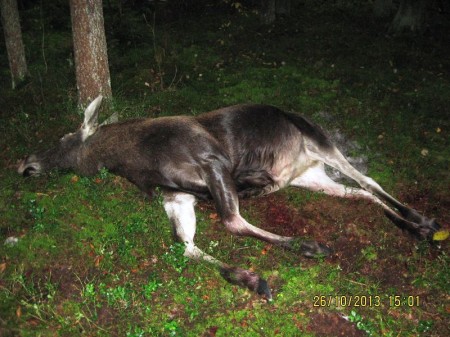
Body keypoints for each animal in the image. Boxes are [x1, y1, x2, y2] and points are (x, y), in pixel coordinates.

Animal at [17, 96, 440, 298]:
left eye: (64, 138)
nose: (24, 163)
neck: (133, 162)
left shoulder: (212, 161)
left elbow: (232, 221)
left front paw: (307, 247)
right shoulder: (175, 195)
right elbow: (184, 245)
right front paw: (251, 278)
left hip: (318, 139)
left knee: (369, 180)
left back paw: (421, 221)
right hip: (310, 175)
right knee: (357, 192)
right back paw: (410, 225)